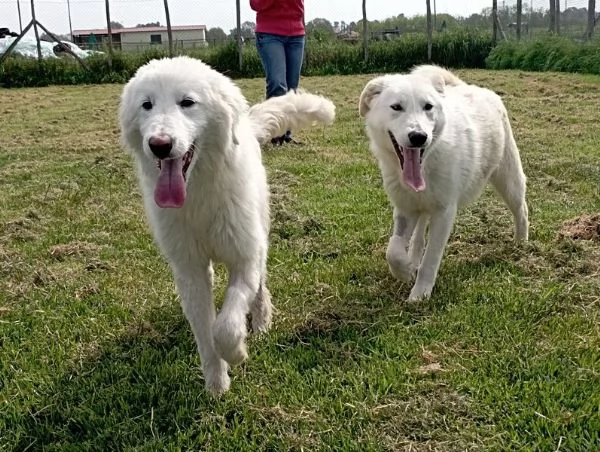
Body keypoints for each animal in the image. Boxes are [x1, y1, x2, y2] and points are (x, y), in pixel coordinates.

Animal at [358, 63, 528, 302]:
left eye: (428, 107)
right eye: (396, 107)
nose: (419, 137)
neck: (426, 164)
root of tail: (475, 88)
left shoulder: (444, 212)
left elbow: (431, 259)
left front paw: (419, 294)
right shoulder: (405, 208)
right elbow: (393, 250)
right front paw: (405, 270)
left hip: (508, 179)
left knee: (521, 210)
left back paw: (521, 243)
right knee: (418, 235)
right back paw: (413, 258)